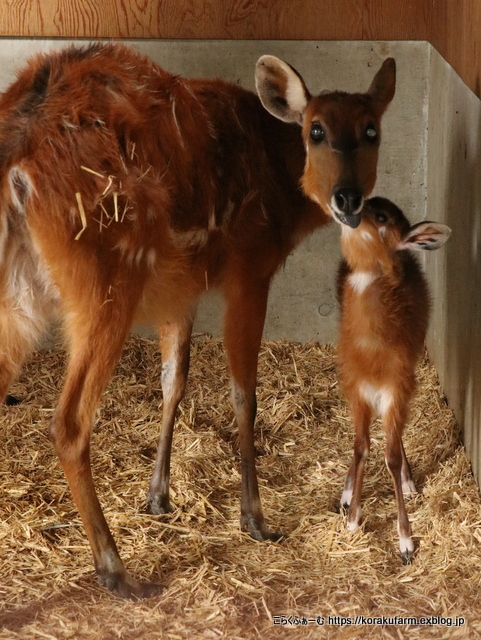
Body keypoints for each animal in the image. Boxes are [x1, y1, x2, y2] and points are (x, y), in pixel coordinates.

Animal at [0, 43, 394, 596]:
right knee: (69, 421)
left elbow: (175, 378)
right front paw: (256, 519)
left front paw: (158, 497)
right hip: (103, 285)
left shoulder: (179, 287)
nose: (348, 198)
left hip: (20, 295)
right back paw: (115, 568)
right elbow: (243, 392)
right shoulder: (249, 268)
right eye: (315, 129)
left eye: (371, 129)